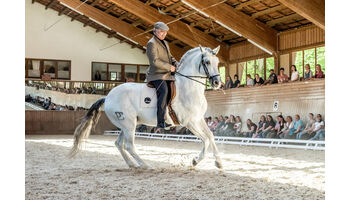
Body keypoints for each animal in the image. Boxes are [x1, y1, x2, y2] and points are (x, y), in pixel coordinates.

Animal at [70, 45, 224, 169]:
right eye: (207, 62)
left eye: (217, 62)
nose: (217, 83)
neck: (188, 87)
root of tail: (107, 97)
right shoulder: (189, 122)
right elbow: (205, 139)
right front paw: (195, 161)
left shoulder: (198, 119)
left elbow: (210, 136)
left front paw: (219, 163)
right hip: (129, 125)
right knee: (130, 146)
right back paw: (146, 165)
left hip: (126, 125)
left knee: (119, 144)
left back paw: (132, 164)